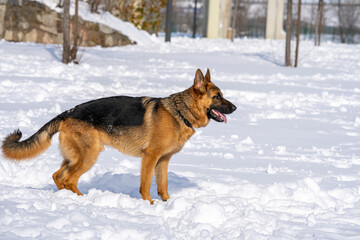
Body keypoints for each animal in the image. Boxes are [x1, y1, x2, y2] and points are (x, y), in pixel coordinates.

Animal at [2, 68, 236, 203]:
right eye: (217, 96)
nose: (235, 108)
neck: (179, 112)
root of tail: (68, 112)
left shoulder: (163, 160)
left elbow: (163, 185)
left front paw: (166, 204)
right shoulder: (150, 157)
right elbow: (145, 184)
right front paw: (149, 205)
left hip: (75, 157)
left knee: (58, 176)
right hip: (88, 156)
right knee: (68, 178)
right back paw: (82, 200)